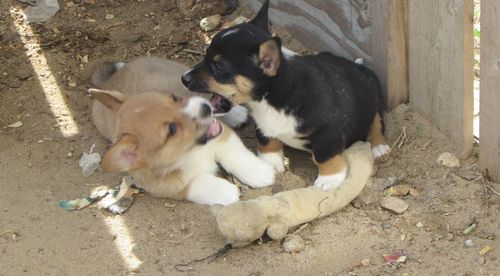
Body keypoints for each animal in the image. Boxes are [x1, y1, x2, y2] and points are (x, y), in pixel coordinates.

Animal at [91, 57, 276, 205]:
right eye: (172, 130)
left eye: (173, 98)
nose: (205, 109)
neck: (190, 152)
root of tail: (111, 79)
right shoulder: (168, 187)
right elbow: (199, 184)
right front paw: (227, 191)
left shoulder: (222, 136)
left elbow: (236, 155)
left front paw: (260, 172)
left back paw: (235, 113)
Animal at [182, 0, 388, 190]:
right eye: (206, 55)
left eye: (219, 66)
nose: (184, 78)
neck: (273, 96)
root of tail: (358, 67)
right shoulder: (263, 125)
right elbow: (267, 142)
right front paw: (271, 163)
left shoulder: (327, 131)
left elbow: (325, 156)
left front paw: (328, 180)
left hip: (373, 98)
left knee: (376, 121)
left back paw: (379, 147)